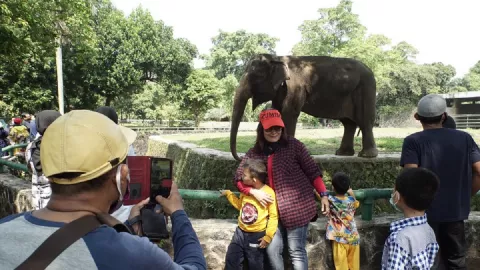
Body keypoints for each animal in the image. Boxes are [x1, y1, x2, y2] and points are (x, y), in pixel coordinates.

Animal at [230, 53, 378, 161]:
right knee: (348, 123)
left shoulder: (295, 87)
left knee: (364, 122)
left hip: (365, 89)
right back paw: (343, 153)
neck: (277, 58)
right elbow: (277, 112)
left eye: (255, 76)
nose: (241, 157)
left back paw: (366, 155)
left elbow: (289, 113)